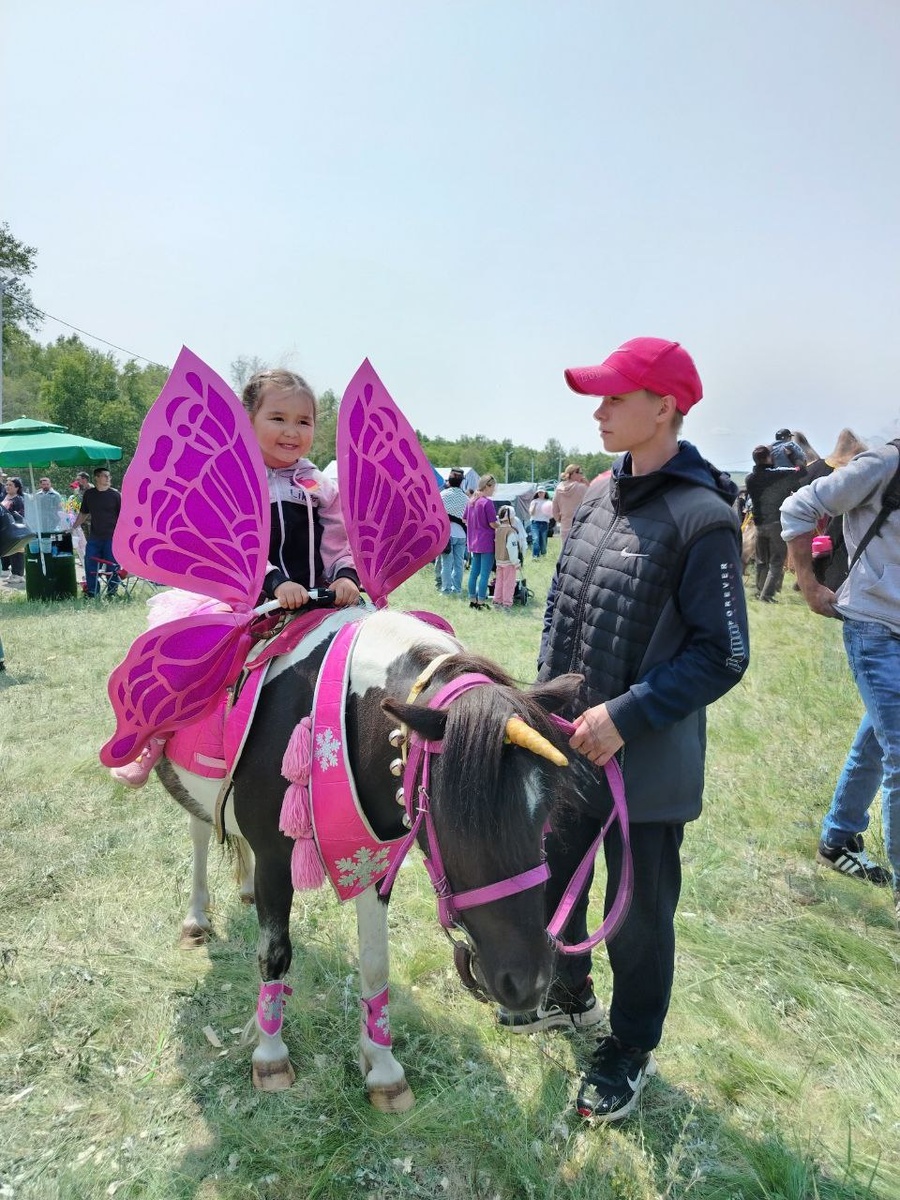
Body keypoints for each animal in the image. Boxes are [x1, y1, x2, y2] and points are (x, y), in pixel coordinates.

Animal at [156, 607, 599, 1112]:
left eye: (544, 811)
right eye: (450, 817)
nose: (529, 982)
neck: (330, 713)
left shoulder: (371, 862)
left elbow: (375, 963)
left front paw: (383, 1068)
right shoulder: (274, 858)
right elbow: (274, 954)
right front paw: (270, 1056)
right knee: (199, 831)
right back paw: (196, 917)